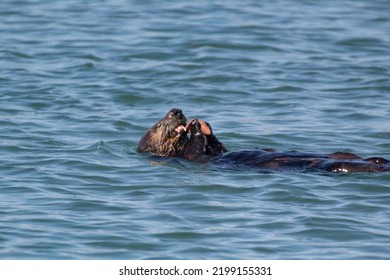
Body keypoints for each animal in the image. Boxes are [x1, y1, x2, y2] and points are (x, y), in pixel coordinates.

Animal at [138, 109, 390, 173]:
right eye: (158, 126)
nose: (177, 111)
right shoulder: (191, 156)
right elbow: (196, 148)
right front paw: (197, 127)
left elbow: (220, 147)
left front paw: (204, 124)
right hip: (337, 166)